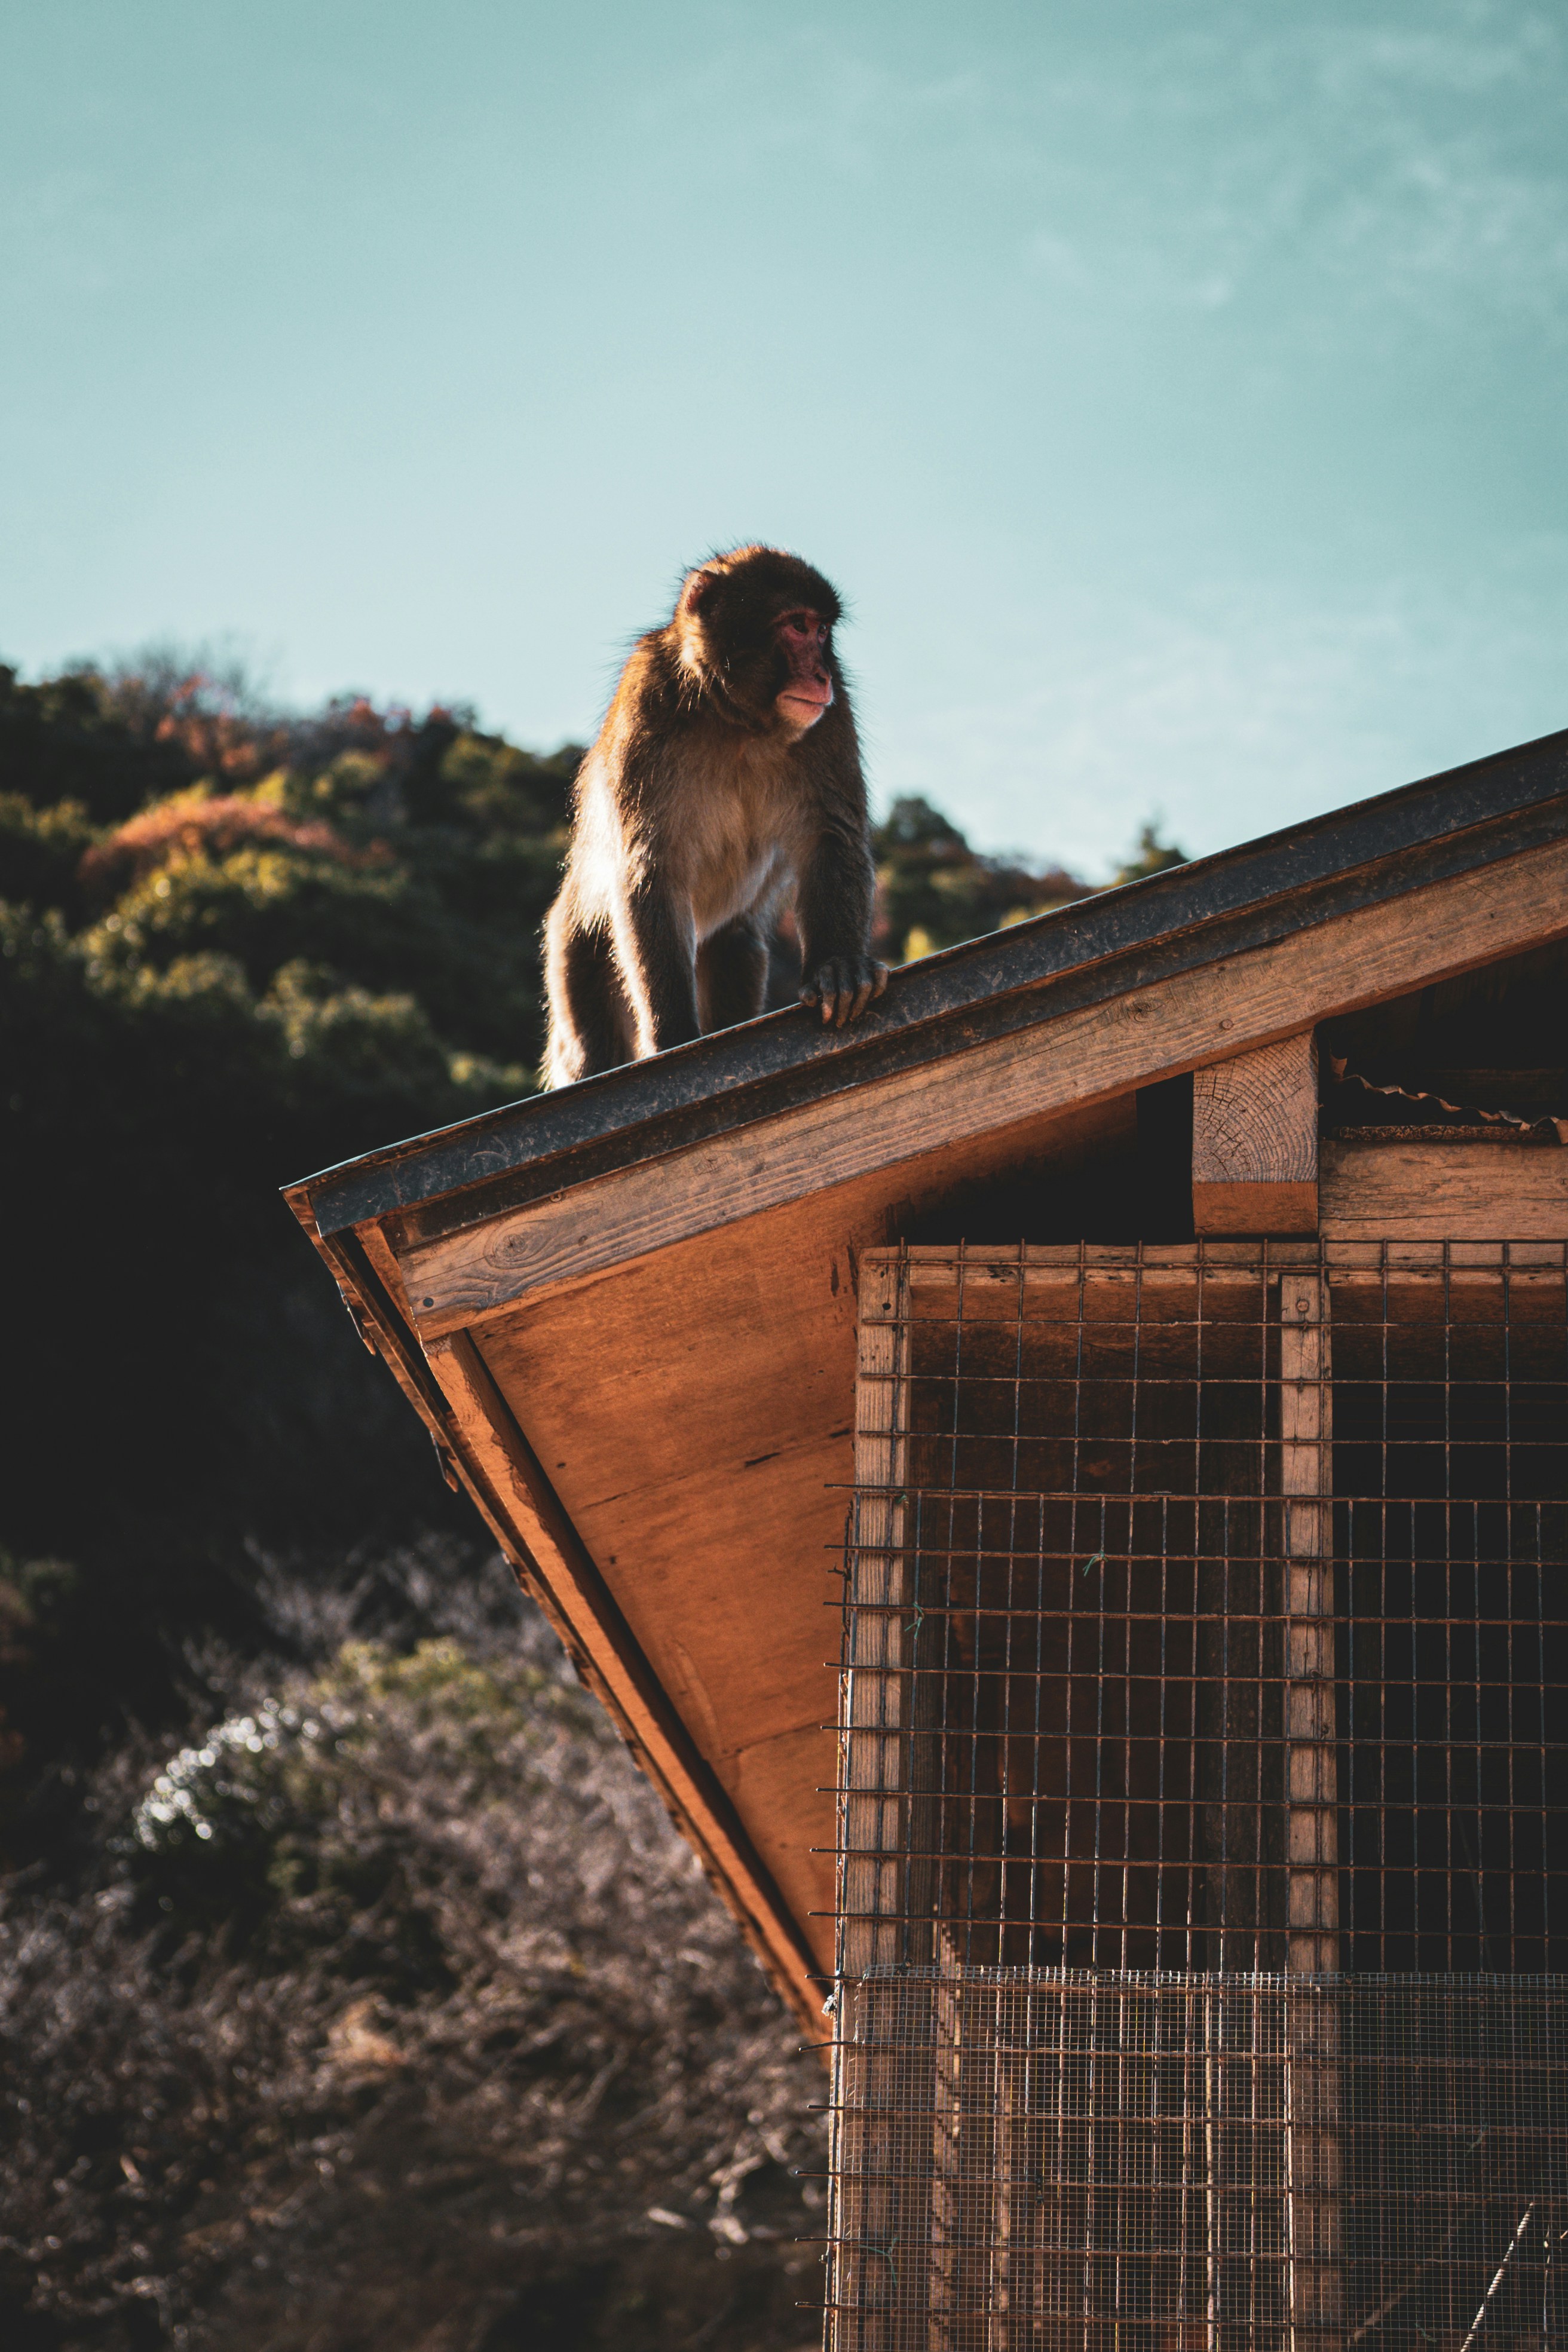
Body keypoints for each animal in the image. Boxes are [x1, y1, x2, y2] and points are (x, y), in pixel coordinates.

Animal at [541, 545, 887, 1088]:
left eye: (822, 632)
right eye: (797, 626)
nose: (822, 674)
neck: (741, 723)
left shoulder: (833, 716)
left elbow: (831, 835)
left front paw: (838, 967)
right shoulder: (646, 702)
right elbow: (652, 868)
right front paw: (673, 1033)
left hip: (728, 947)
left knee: (737, 948)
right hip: (576, 949)